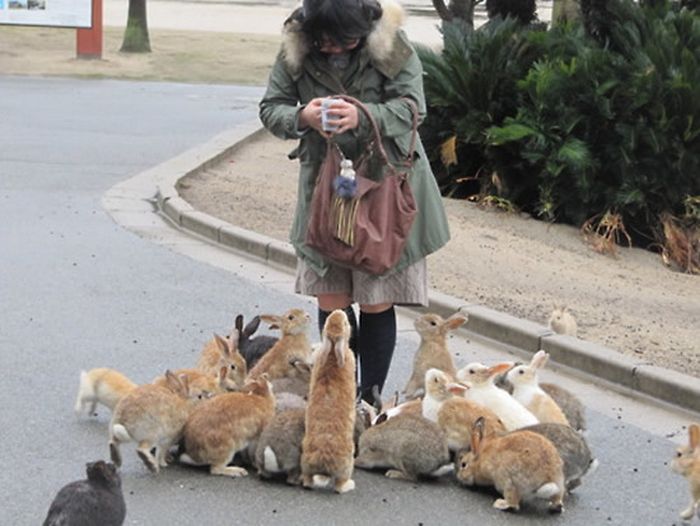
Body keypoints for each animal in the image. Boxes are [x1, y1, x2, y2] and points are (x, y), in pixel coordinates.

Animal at [300, 310, 356, 496]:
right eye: (346, 323)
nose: (340, 312)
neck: (331, 352)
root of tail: (323, 461)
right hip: (347, 465)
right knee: (339, 485)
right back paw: (349, 485)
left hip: (306, 462)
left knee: (308, 480)